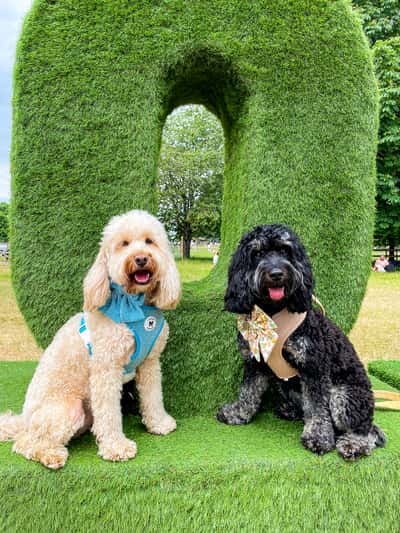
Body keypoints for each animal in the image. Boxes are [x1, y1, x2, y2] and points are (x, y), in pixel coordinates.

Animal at [0, 210, 181, 469]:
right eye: (124, 244)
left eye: (149, 241)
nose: (140, 259)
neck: (134, 303)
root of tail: (23, 419)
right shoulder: (106, 368)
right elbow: (109, 413)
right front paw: (116, 447)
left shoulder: (150, 363)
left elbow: (153, 396)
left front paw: (159, 423)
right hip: (68, 408)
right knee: (26, 442)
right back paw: (51, 455)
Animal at [217, 224, 386, 460]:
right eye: (257, 253)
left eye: (285, 250)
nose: (276, 274)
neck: (273, 314)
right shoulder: (255, 363)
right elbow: (248, 391)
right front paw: (238, 413)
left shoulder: (313, 367)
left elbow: (317, 407)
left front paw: (318, 438)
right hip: (289, 387)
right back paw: (290, 410)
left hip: (344, 396)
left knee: (365, 429)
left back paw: (354, 444)